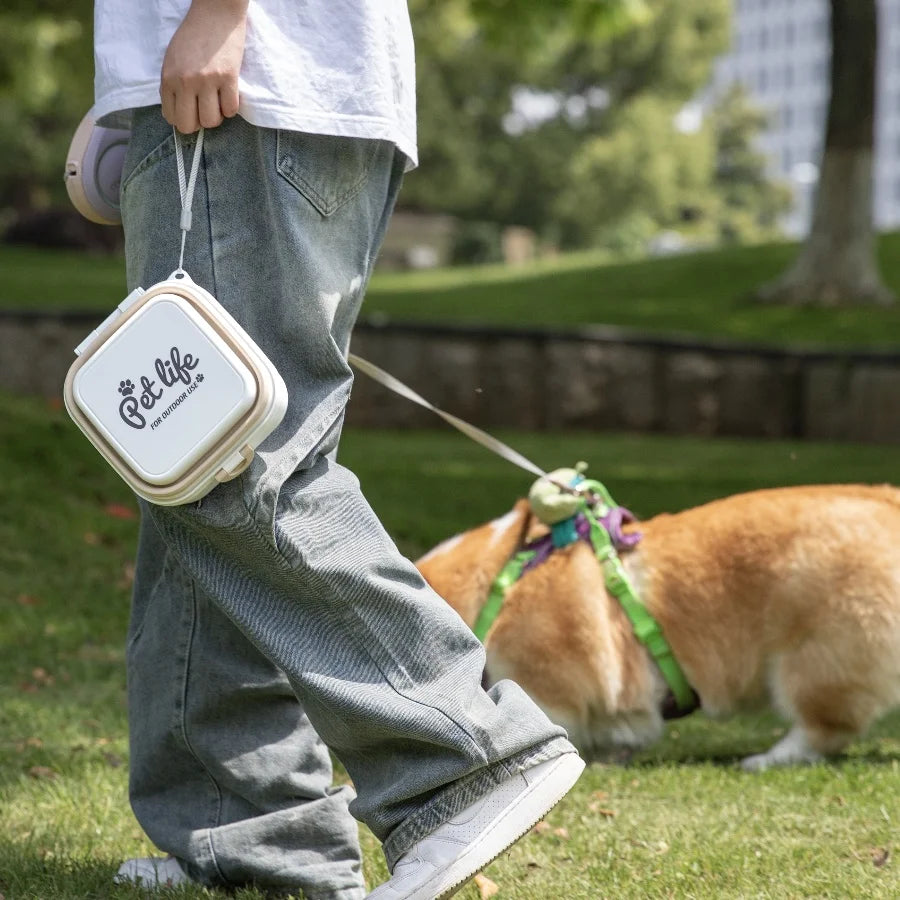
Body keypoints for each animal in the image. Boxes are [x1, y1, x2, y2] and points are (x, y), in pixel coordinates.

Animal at [418, 482, 900, 768]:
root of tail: (889, 500)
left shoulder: (547, 686)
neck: (491, 593)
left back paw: (767, 758)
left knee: (823, 730)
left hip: (812, 662)